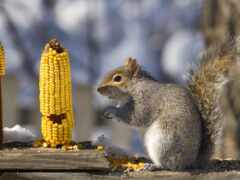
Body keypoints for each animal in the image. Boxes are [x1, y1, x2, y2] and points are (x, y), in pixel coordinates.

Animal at [96, 39, 238, 170]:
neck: (135, 87)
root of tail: (191, 161)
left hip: (163, 140)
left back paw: (153, 166)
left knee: (168, 164)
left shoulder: (147, 99)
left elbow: (136, 116)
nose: (98, 89)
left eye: (118, 78)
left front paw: (112, 110)